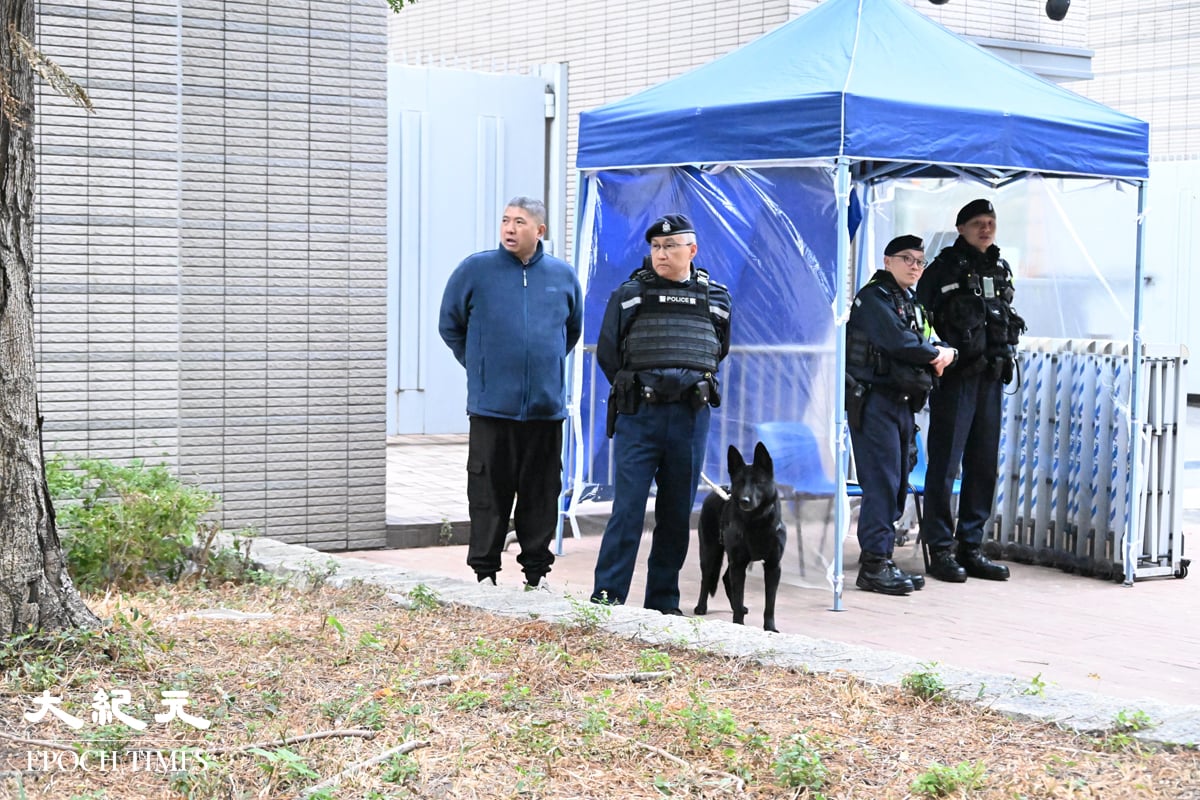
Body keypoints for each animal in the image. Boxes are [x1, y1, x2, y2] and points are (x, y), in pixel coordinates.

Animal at [694, 442, 787, 632]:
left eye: (758, 482)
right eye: (740, 482)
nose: (744, 500)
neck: (757, 522)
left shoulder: (773, 566)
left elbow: (770, 603)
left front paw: (770, 627)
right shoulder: (738, 564)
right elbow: (739, 594)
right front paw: (738, 624)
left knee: (725, 578)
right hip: (710, 552)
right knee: (706, 578)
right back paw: (701, 607)